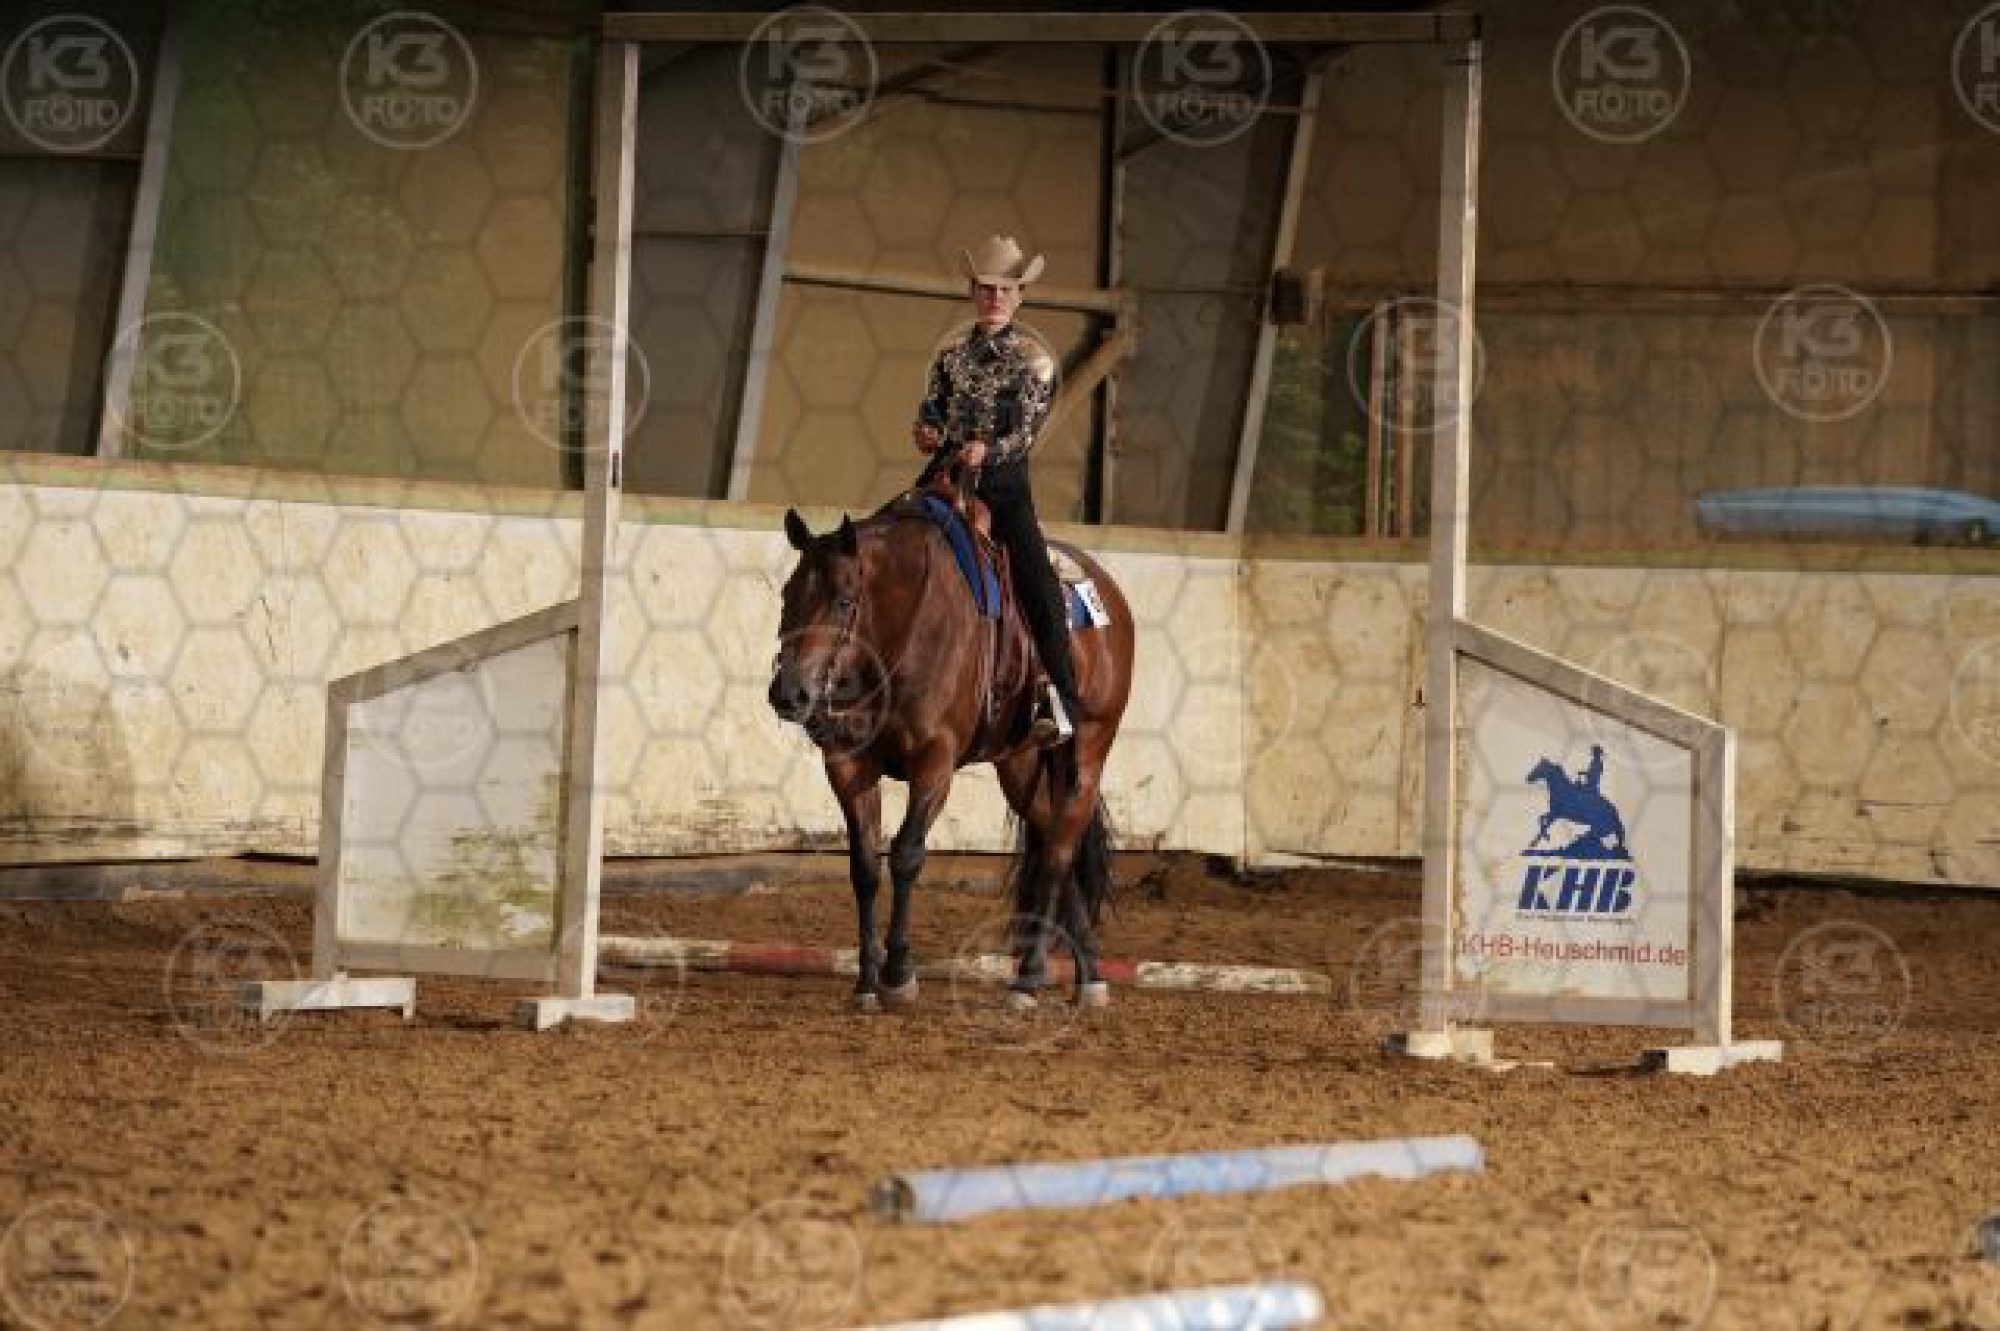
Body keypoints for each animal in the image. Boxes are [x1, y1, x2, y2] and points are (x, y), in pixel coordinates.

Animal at [767, 487, 1136, 1012]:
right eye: (787, 595)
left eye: (843, 601)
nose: (789, 694)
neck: (903, 631)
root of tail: (1109, 595)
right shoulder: (849, 764)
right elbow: (864, 866)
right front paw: (866, 982)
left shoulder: (935, 761)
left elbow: (906, 855)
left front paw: (899, 974)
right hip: (1021, 765)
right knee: (1050, 834)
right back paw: (1089, 975)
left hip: (1087, 752)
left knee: (1060, 851)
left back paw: (1028, 979)